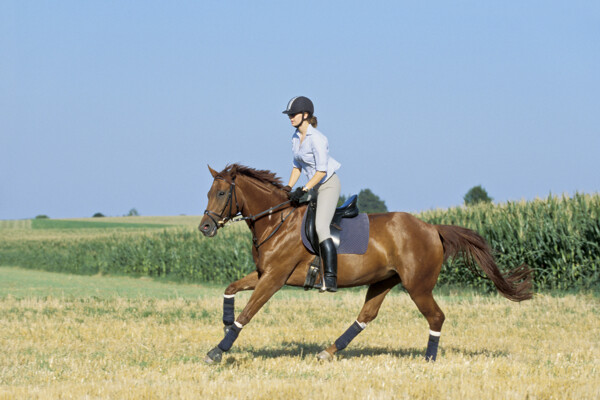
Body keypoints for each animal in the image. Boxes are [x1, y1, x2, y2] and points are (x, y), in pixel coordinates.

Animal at [199, 164, 532, 364]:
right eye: (208, 192)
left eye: (222, 193)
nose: (205, 228)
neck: (276, 221)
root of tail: (431, 228)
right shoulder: (263, 274)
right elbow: (231, 289)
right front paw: (226, 322)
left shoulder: (274, 279)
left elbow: (248, 313)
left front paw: (218, 349)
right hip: (384, 280)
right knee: (367, 315)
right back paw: (328, 351)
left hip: (417, 287)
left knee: (436, 317)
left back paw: (429, 359)